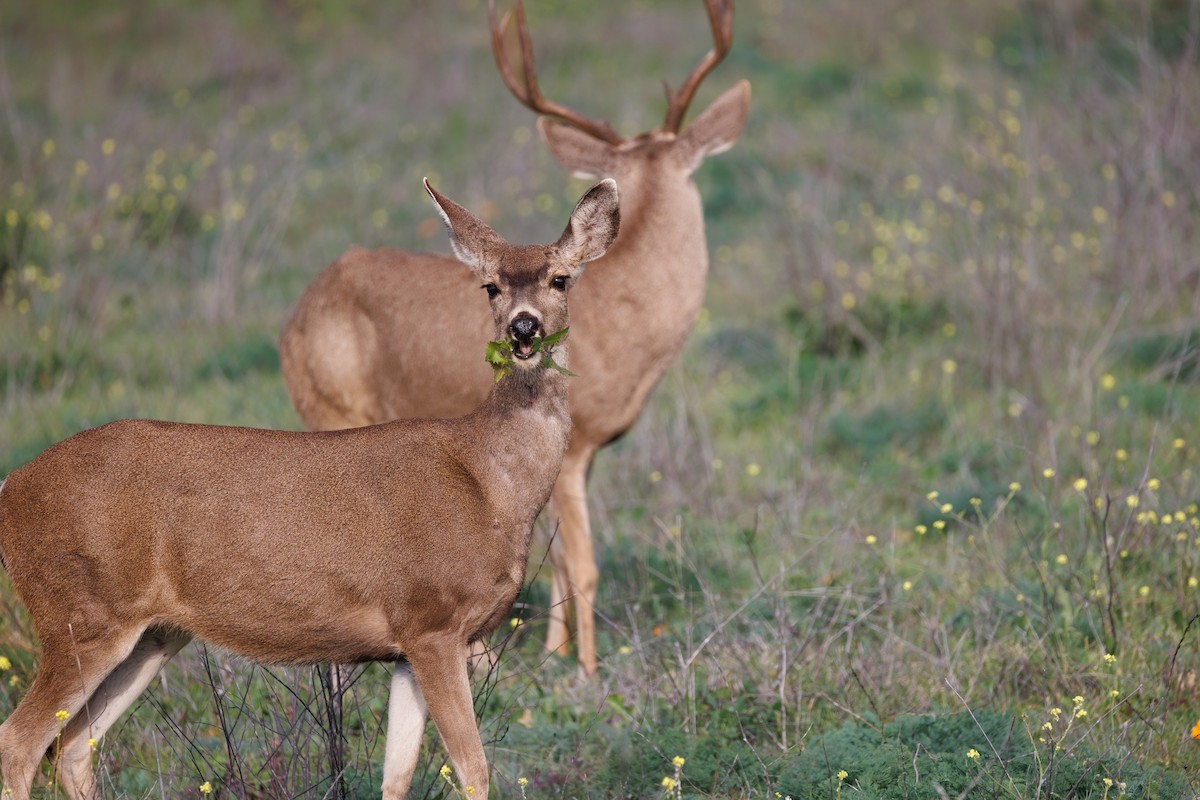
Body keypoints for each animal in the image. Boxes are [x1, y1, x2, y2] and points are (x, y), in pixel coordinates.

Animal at [0, 177, 620, 800]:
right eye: (491, 285)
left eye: (560, 278)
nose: (524, 328)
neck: (490, 482)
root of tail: (9, 489)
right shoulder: (433, 617)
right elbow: (473, 767)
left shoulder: (407, 643)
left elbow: (397, 776)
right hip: (80, 611)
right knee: (19, 741)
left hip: (152, 631)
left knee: (72, 745)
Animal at [277, 0, 749, 677]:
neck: (630, 317)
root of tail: (293, 319)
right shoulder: (576, 446)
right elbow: (583, 566)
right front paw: (588, 673)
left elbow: (557, 562)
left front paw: (554, 655)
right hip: (332, 409)